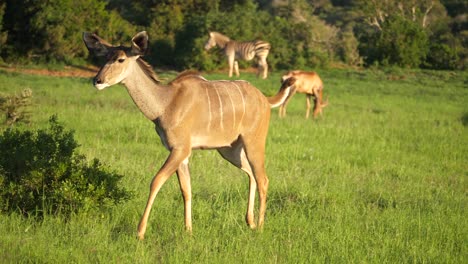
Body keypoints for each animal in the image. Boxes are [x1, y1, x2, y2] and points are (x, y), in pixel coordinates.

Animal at [81, 30, 292, 239]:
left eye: (121, 59)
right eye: (105, 57)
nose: (97, 80)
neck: (165, 104)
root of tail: (265, 99)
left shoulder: (180, 149)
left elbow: (156, 181)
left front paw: (140, 232)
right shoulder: (182, 154)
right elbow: (186, 189)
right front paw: (188, 230)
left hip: (254, 141)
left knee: (263, 179)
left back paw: (261, 226)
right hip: (229, 150)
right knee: (251, 174)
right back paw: (251, 222)